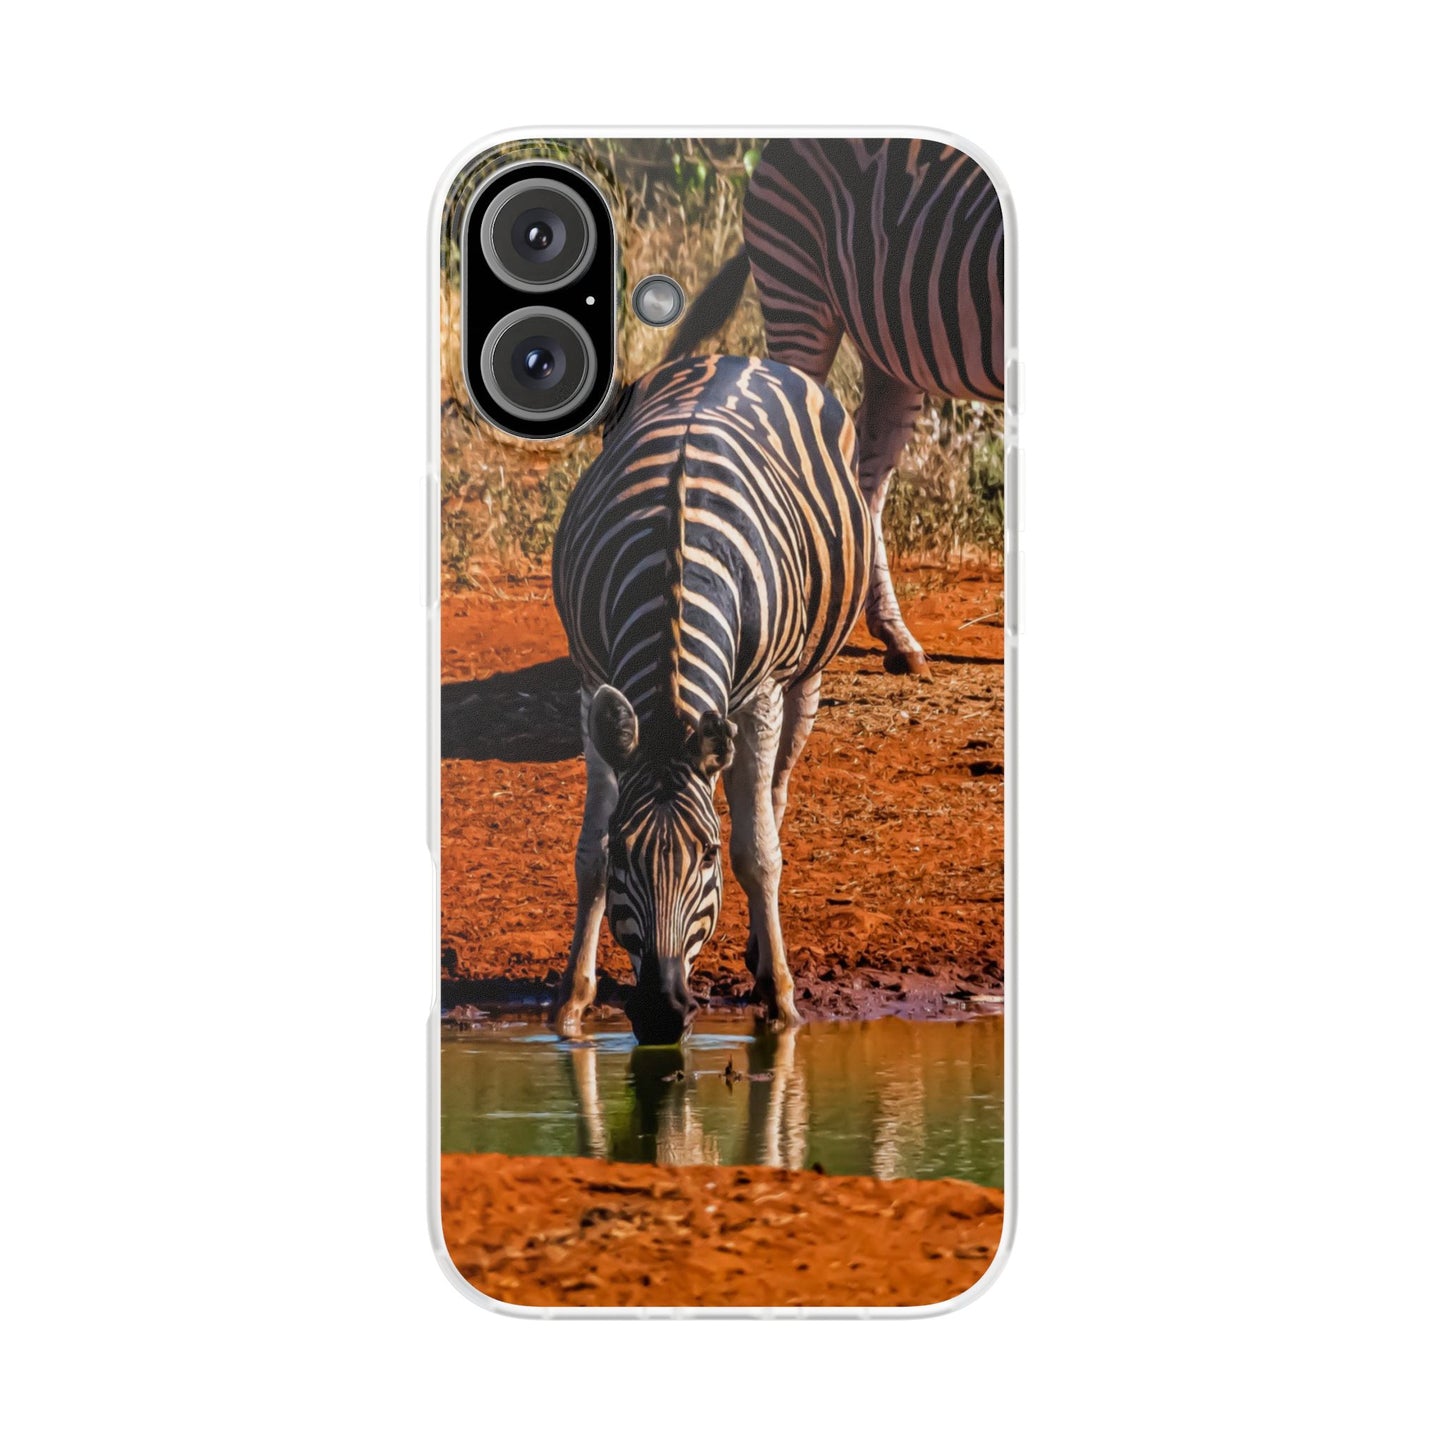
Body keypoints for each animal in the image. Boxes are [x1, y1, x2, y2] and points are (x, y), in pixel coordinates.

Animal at [551, 353, 871, 1044]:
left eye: (707, 856)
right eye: (627, 852)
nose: (661, 1013)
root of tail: (736, 356)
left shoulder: (761, 697)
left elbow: (758, 853)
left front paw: (781, 1001)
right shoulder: (591, 683)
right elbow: (588, 854)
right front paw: (572, 1002)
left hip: (803, 677)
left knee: (773, 797)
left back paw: (760, 951)